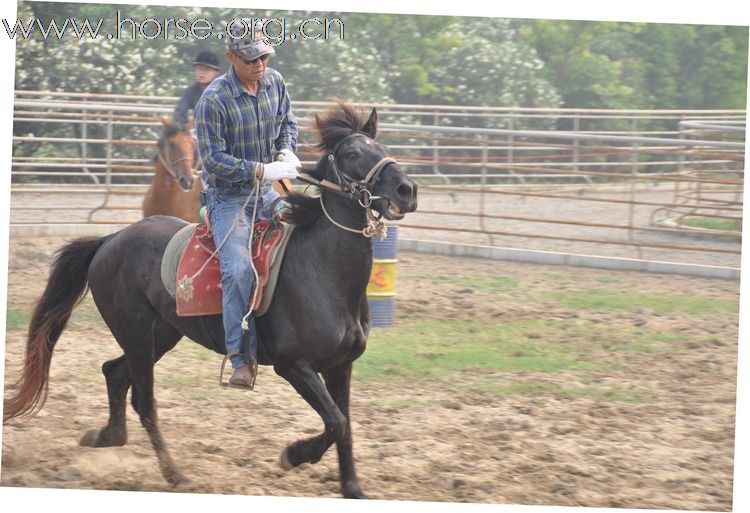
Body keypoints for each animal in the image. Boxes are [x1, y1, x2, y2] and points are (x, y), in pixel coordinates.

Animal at [2, 102, 420, 498]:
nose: (407, 190)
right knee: (144, 400)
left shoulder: (340, 367)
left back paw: (106, 437)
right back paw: (174, 473)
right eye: (351, 153)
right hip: (136, 333)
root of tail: (111, 240)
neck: (323, 271)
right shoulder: (294, 366)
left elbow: (344, 426)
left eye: (382, 148)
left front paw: (352, 489)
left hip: (161, 335)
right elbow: (335, 421)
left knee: (114, 373)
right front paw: (293, 455)